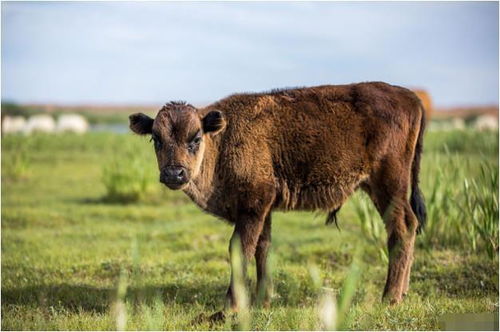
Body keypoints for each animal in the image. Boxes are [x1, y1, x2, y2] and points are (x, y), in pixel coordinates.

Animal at [129, 82, 426, 308]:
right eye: (156, 139)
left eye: (196, 138)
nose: (174, 174)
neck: (222, 140)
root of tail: (409, 96)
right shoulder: (263, 209)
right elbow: (263, 248)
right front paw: (263, 300)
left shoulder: (253, 206)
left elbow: (240, 249)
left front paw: (231, 306)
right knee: (409, 226)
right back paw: (402, 292)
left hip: (389, 186)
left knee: (401, 228)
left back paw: (390, 298)